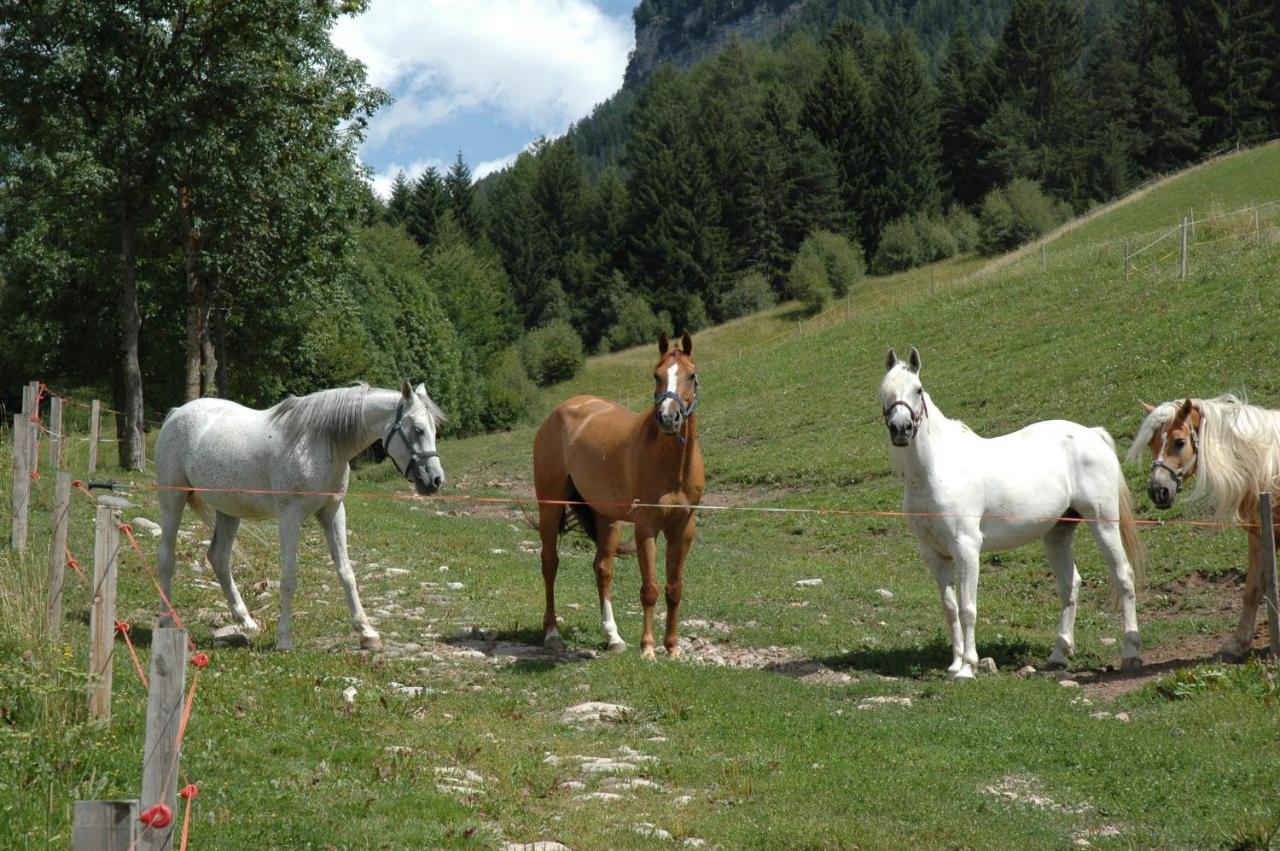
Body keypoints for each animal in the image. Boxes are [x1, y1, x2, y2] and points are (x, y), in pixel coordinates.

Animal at [154, 378, 448, 650]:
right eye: (418, 429)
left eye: (433, 430)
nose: (435, 481)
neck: (318, 443)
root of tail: (177, 413)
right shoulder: (290, 517)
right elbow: (289, 578)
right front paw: (284, 639)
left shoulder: (333, 513)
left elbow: (346, 573)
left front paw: (367, 633)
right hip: (173, 500)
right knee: (167, 558)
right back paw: (166, 620)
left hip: (229, 508)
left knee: (219, 558)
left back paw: (246, 621)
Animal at [532, 332, 706, 655]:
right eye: (656, 375)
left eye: (691, 376)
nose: (668, 418)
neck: (671, 465)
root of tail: (559, 411)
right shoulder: (646, 527)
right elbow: (650, 589)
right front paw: (648, 647)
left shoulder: (683, 527)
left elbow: (674, 588)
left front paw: (673, 647)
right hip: (550, 506)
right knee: (550, 563)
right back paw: (552, 633)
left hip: (606, 517)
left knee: (603, 568)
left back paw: (613, 636)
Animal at [880, 348, 1141, 680]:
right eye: (884, 392)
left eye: (918, 389)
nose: (901, 430)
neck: (937, 469)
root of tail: (1093, 435)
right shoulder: (934, 554)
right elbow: (950, 608)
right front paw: (954, 664)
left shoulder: (967, 549)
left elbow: (968, 607)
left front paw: (968, 667)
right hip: (1057, 533)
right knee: (1070, 585)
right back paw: (1058, 655)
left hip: (1104, 524)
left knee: (1123, 576)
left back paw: (1131, 654)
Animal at [1131, 394, 1280, 660]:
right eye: (1151, 443)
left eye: (1179, 442)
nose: (1158, 491)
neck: (1267, 464)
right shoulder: (1260, 533)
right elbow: (1253, 588)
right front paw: (1237, 644)